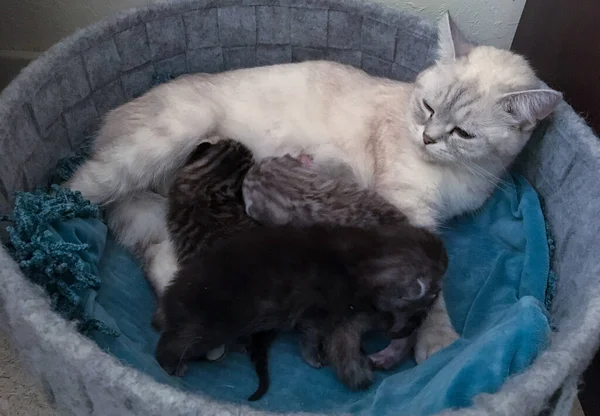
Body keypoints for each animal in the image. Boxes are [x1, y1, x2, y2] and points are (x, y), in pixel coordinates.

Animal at [155, 223, 446, 394]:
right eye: (431, 294)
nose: (415, 324)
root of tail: (171, 296)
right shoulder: (319, 310)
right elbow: (313, 337)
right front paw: (319, 359)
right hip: (209, 325)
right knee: (169, 345)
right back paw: (172, 367)